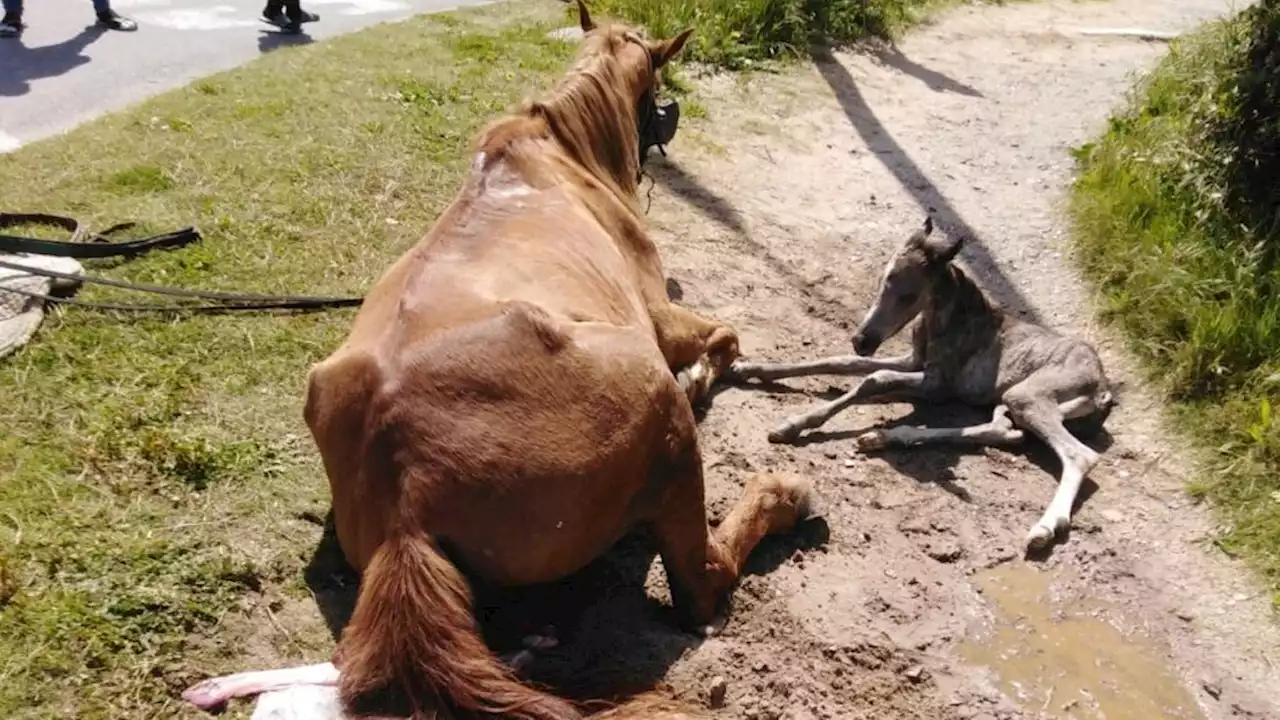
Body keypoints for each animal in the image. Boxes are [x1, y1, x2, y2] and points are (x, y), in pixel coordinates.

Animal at [180, 2, 808, 712]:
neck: (561, 149)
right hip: (658, 405)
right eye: (655, 88)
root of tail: (408, 499)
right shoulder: (663, 322)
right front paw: (703, 375)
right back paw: (781, 496)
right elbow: (727, 337)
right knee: (701, 581)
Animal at [732, 215, 1111, 545]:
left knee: (1080, 455)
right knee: (1004, 431)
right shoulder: (914, 360)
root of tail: (1104, 393)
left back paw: (1045, 528)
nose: (862, 339)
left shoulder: (937, 383)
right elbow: (842, 362)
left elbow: (874, 378)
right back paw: (883, 437)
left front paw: (793, 424)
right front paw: (747, 368)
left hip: (1028, 396)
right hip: (1010, 402)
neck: (944, 320)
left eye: (910, 295)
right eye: (883, 279)